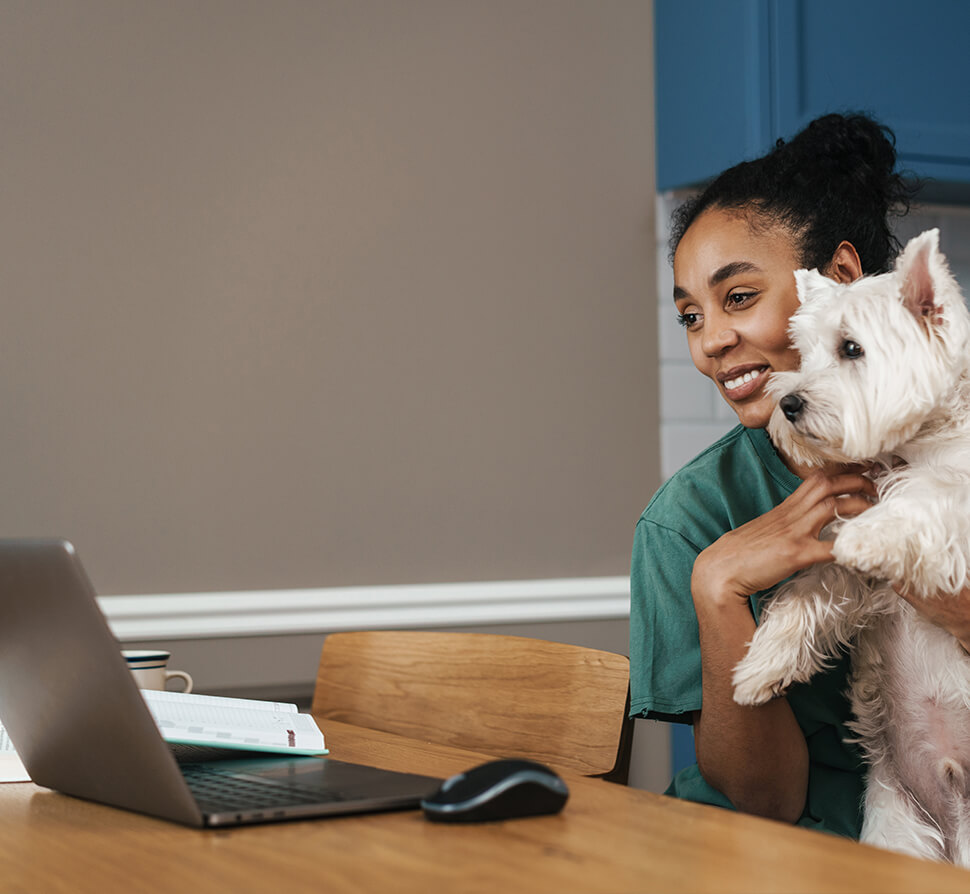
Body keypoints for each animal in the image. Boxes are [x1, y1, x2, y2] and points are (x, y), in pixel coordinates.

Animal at [728, 231, 970, 868]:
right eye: (802, 352)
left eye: (851, 348)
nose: (786, 405)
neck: (917, 442)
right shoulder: (853, 566)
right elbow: (812, 589)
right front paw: (760, 669)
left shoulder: (948, 508)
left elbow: (929, 498)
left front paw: (874, 533)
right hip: (898, 825)